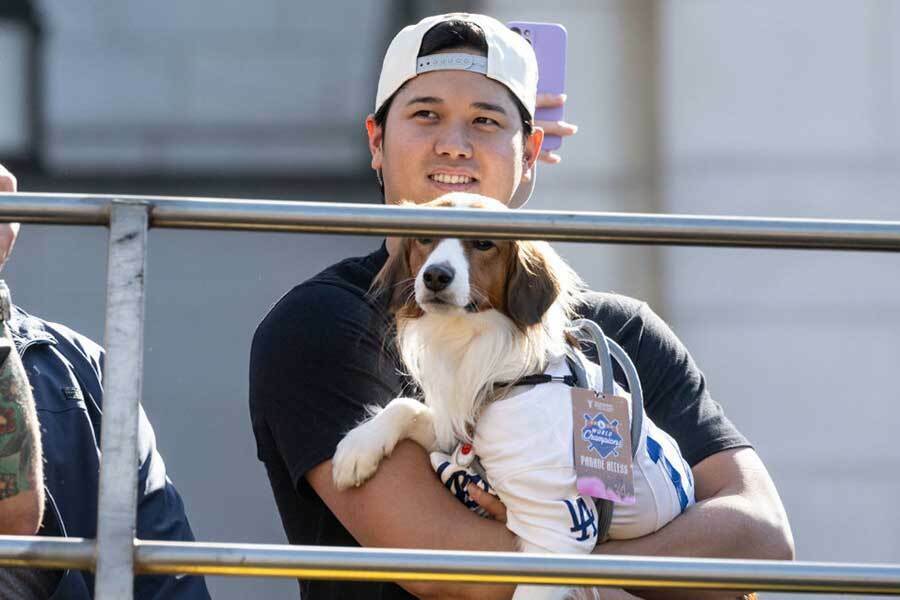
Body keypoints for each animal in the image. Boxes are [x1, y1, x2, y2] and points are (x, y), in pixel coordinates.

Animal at [334, 195, 700, 596]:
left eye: (483, 243)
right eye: (425, 238)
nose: (435, 276)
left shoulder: (557, 529)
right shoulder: (457, 433)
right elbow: (407, 405)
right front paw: (357, 449)